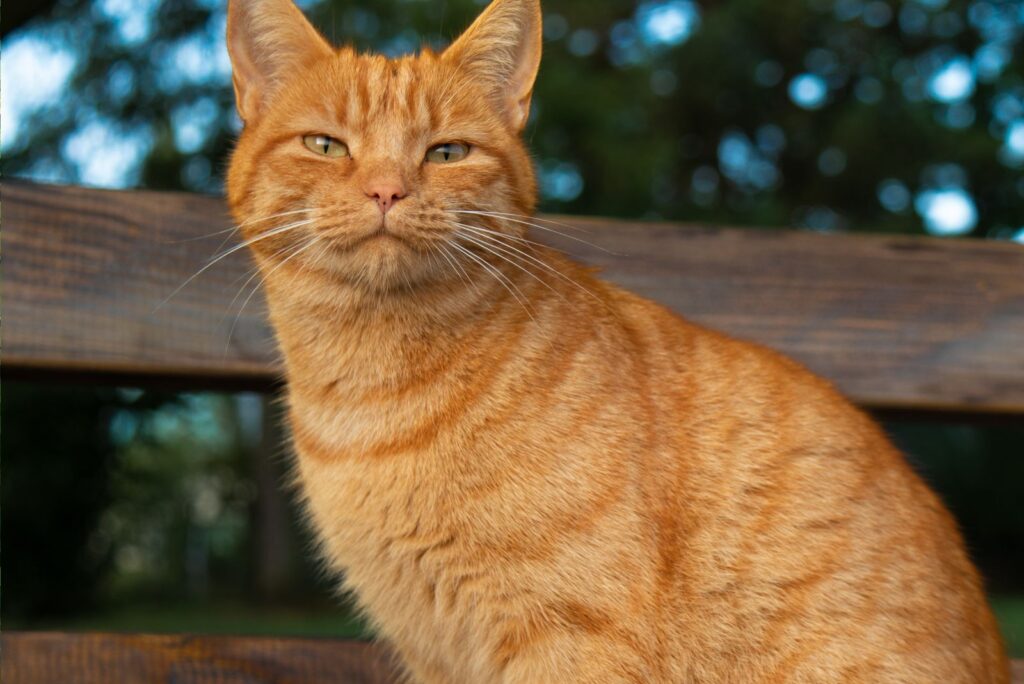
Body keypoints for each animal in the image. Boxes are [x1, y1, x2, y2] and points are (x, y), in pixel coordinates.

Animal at [226, 0, 1007, 679]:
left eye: (447, 153)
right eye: (325, 145)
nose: (388, 191)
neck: (372, 388)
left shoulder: (572, 631)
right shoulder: (433, 647)